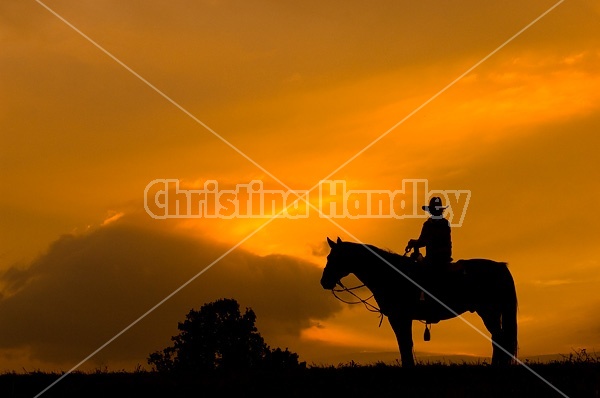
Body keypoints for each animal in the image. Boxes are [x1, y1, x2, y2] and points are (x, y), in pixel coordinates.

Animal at [322, 236, 516, 366]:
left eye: (333, 258)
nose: (324, 281)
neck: (389, 274)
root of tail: (500, 266)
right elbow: (405, 344)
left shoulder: (399, 317)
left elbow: (405, 344)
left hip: (488, 311)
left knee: (499, 339)